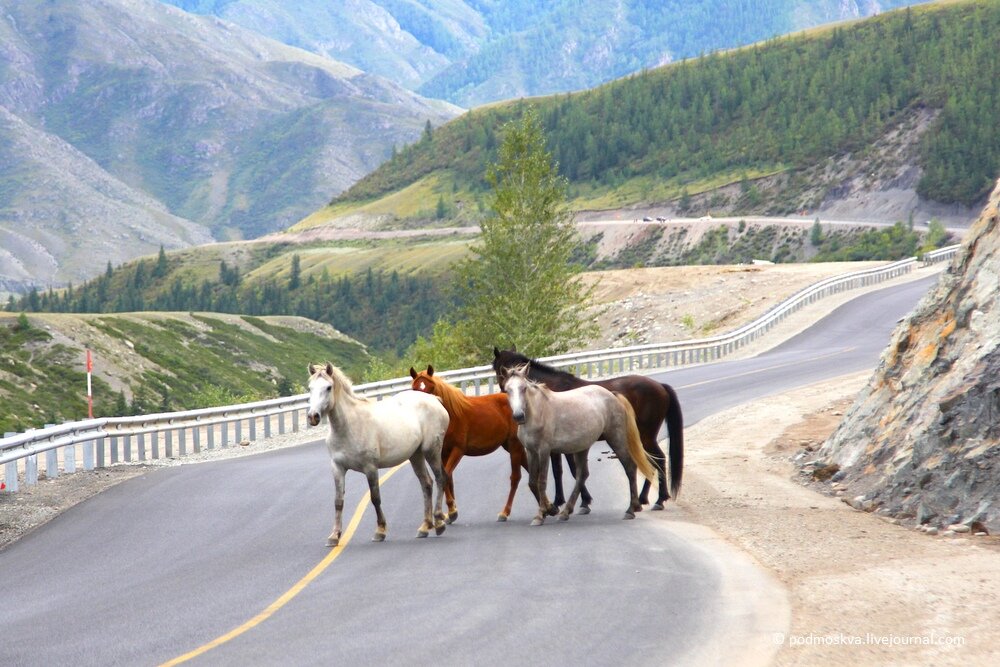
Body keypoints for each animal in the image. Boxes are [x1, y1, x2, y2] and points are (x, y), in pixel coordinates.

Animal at [302, 366, 448, 548]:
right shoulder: (337, 468)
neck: (349, 427)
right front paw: (334, 536)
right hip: (416, 455)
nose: (313, 417)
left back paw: (439, 521)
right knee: (426, 483)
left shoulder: (370, 468)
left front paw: (380, 531)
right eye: (310, 388)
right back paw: (425, 526)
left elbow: (375, 498)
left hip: (431, 451)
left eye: (328, 387)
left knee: (440, 478)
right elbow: (338, 501)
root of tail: (434, 400)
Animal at [490, 348, 684, 508]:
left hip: (646, 436)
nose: (514, 409)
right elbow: (560, 471)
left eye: (497, 370)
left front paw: (579, 501)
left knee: (659, 459)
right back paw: (644, 498)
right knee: (650, 461)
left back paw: (659, 499)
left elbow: (569, 470)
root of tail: (660, 386)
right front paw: (564, 500)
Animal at [504, 366, 660, 528]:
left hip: (616, 438)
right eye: (507, 390)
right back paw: (566, 512)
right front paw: (550, 509)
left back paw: (631, 509)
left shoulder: (544, 451)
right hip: (582, 447)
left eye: (523, 388)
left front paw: (540, 515)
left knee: (629, 467)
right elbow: (532, 482)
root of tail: (613, 395)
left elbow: (542, 482)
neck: (538, 413)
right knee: (582, 475)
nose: (518, 416)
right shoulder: (531, 452)